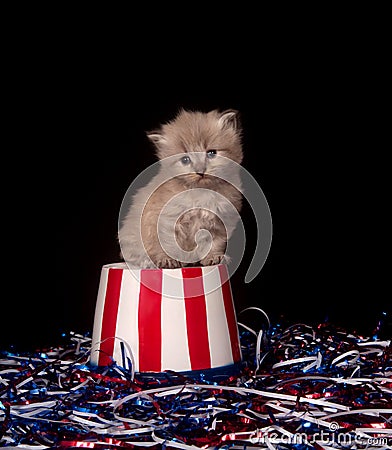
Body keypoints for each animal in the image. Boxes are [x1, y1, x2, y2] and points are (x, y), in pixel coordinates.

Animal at [118, 107, 243, 268]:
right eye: (185, 160)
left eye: (211, 153)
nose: (200, 171)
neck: (201, 192)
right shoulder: (165, 221)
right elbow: (167, 245)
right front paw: (168, 261)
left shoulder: (219, 223)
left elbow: (215, 243)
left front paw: (213, 257)